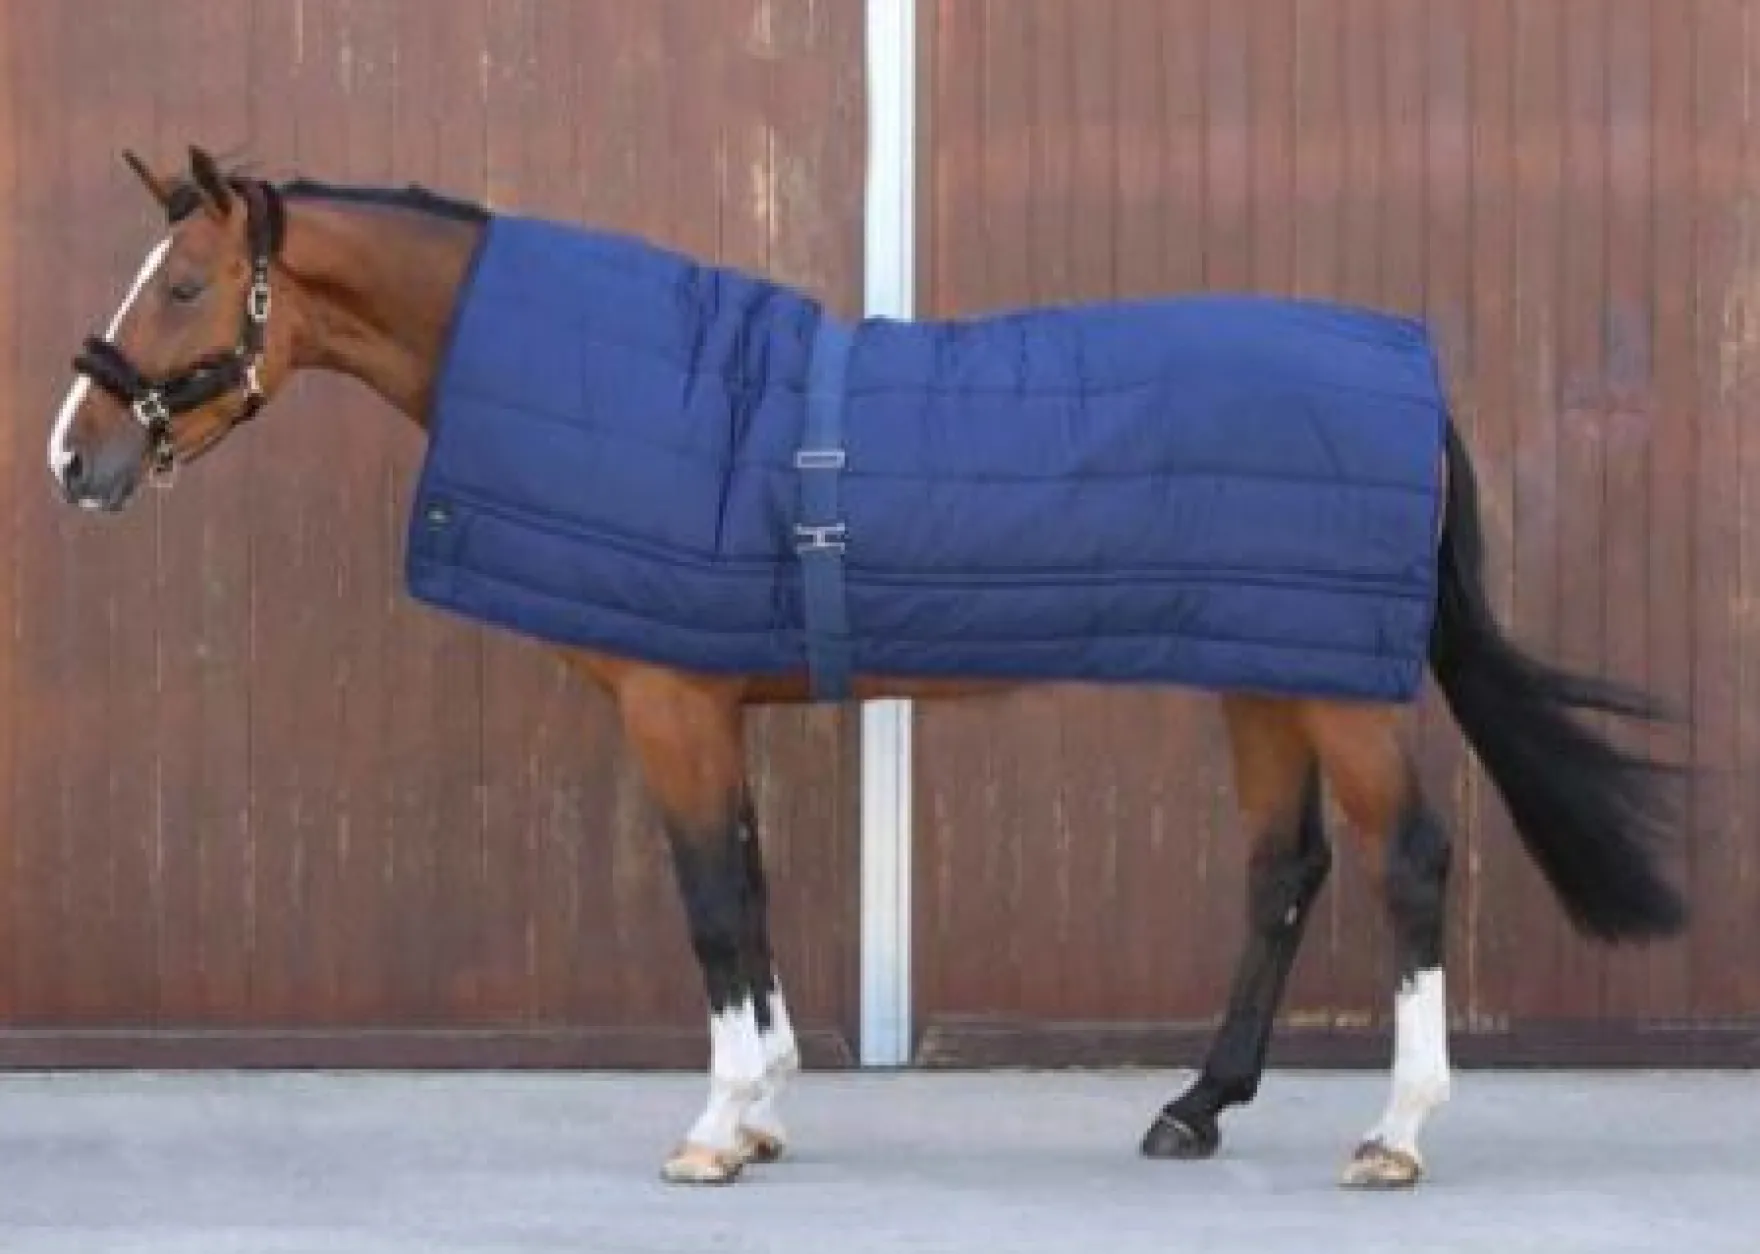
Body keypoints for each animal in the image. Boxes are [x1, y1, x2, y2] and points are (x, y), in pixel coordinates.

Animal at [44, 145, 1687, 1190]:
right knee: (1283, 870)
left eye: (181, 286)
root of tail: (1408, 371)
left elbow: (713, 901)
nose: (75, 456)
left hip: (1339, 691)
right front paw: (766, 1107)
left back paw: (1396, 1132)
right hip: (1264, 673)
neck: (647, 393)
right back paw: (1194, 1109)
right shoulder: (714, 699)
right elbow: (754, 891)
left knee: (1408, 859)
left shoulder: (673, 707)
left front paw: (714, 1129)